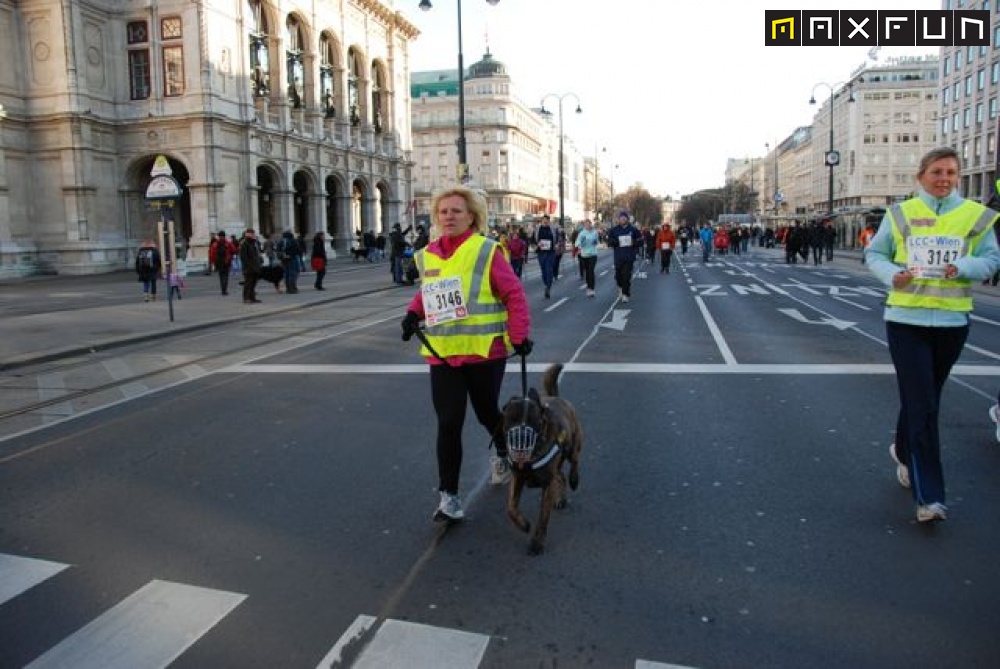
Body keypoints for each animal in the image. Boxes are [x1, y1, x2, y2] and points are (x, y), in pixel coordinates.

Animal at [504, 362, 584, 556]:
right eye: (511, 420)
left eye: (533, 420)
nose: (521, 438)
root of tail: (556, 397)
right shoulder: (518, 478)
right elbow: (511, 507)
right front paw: (523, 524)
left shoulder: (548, 484)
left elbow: (542, 518)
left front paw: (537, 542)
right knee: (560, 476)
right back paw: (561, 498)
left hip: (574, 444)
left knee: (574, 462)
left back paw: (574, 479)